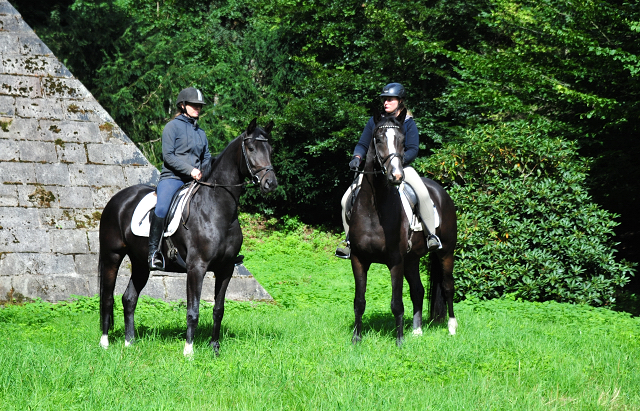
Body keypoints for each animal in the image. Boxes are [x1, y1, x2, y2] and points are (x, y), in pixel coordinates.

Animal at [98, 117, 276, 356]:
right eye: (251, 148)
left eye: (270, 149)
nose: (270, 183)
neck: (217, 208)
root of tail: (116, 200)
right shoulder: (196, 268)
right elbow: (193, 310)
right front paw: (189, 351)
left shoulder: (226, 269)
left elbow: (218, 309)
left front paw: (214, 348)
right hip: (112, 256)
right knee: (107, 298)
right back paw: (104, 342)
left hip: (141, 263)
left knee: (129, 299)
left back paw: (130, 342)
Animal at [348, 108, 458, 346]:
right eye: (378, 139)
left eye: (401, 140)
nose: (396, 176)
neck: (374, 208)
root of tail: (441, 192)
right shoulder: (359, 260)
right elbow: (359, 301)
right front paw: (356, 339)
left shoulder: (395, 261)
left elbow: (396, 303)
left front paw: (399, 340)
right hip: (412, 259)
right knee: (418, 290)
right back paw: (417, 330)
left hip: (446, 252)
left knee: (447, 286)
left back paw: (452, 327)